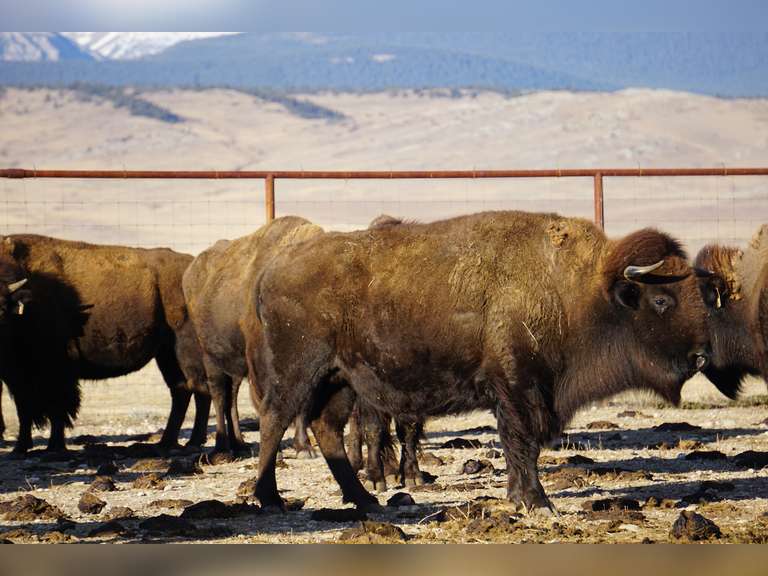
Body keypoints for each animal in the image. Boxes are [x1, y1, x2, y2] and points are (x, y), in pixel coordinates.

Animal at [0, 234, 209, 455]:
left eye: (2, 307)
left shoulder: (58, 372)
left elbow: (58, 409)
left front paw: (54, 447)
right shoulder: (16, 377)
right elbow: (24, 411)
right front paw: (20, 448)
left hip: (186, 351)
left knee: (199, 389)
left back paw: (193, 441)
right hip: (166, 354)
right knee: (181, 391)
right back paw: (167, 442)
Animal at [180, 216, 324, 460]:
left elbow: (302, 401)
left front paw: (304, 447)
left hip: (235, 365)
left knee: (232, 399)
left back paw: (239, 444)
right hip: (211, 356)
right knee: (219, 396)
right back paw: (222, 448)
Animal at [247, 210, 710, 513]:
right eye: (662, 299)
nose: (700, 355)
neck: (579, 290)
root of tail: (271, 271)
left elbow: (520, 447)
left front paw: (520, 498)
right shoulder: (518, 388)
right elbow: (522, 443)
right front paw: (537, 503)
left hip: (341, 380)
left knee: (327, 429)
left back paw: (365, 501)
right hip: (298, 372)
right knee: (275, 420)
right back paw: (271, 498)